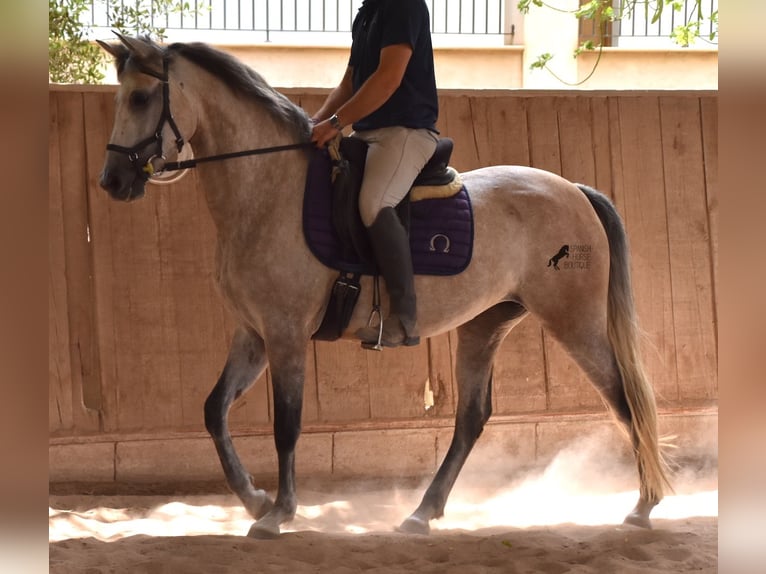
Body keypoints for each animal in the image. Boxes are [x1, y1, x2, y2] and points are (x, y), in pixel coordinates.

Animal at [97, 35, 672, 540]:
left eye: (142, 97)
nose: (112, 182)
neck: (268, 190)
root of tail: (573, 189)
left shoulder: (284, 335)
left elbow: (287, 425)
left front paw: (278, 513)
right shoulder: (254, 333)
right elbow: (214, 409)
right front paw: (255, 499)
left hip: (575, 321)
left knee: (624, 397)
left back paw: (644, 504)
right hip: (486, 324)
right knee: (472, 418)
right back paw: (422, 513)